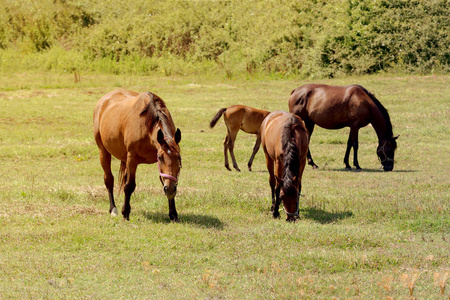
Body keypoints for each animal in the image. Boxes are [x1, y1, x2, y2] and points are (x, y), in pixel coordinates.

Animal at [92, 88, 181, 220]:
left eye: (179, 157)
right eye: (160, 157)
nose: (170, 189)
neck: (147, 125)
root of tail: (103, 100)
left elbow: (163, 179)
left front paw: (173, 214)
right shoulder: (132, 159)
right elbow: (129, 186)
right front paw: (125, 213)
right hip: (103, 152)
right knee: (109, 180)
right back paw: (113, 209)